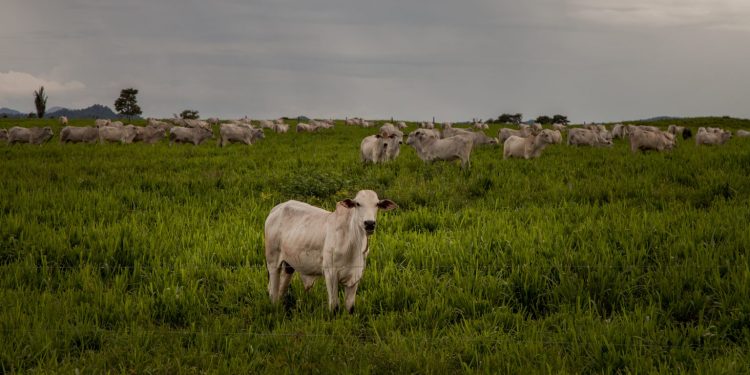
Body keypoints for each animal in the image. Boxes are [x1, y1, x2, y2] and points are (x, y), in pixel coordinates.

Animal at [262, 191, 396, 314]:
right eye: (358, 204)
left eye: (377, 204)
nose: (369, 223)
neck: (353, 243)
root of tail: (277, 208)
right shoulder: (330, 273)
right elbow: (334, 307)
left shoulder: (356, 275)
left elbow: (350, 308)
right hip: (272, 262)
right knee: (273, 292)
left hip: (289, 265)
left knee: (281, 289)